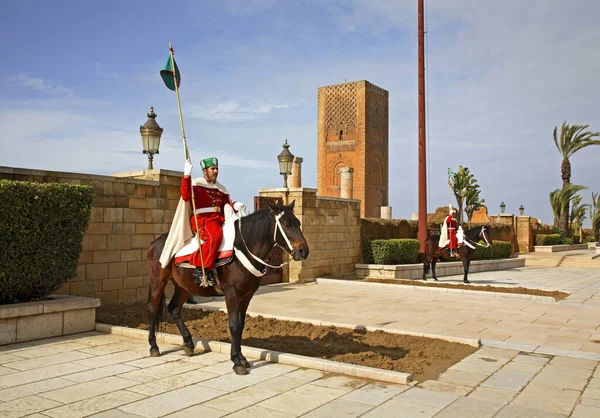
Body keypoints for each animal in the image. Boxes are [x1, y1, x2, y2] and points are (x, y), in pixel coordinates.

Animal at [144, 201, 304, 374]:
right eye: (286, 224)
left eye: (298, 223)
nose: (303, 251)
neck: (243, 249)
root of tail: (154, 243)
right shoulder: (231, 294)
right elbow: (234, 325)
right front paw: (237, 362)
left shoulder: (247, 295)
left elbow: (240, 325)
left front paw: (242, 358)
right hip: (158, 282)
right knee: (153, 309)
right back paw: (154, 347)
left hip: (183, 287)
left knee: (173, 308)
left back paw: (188, 343)